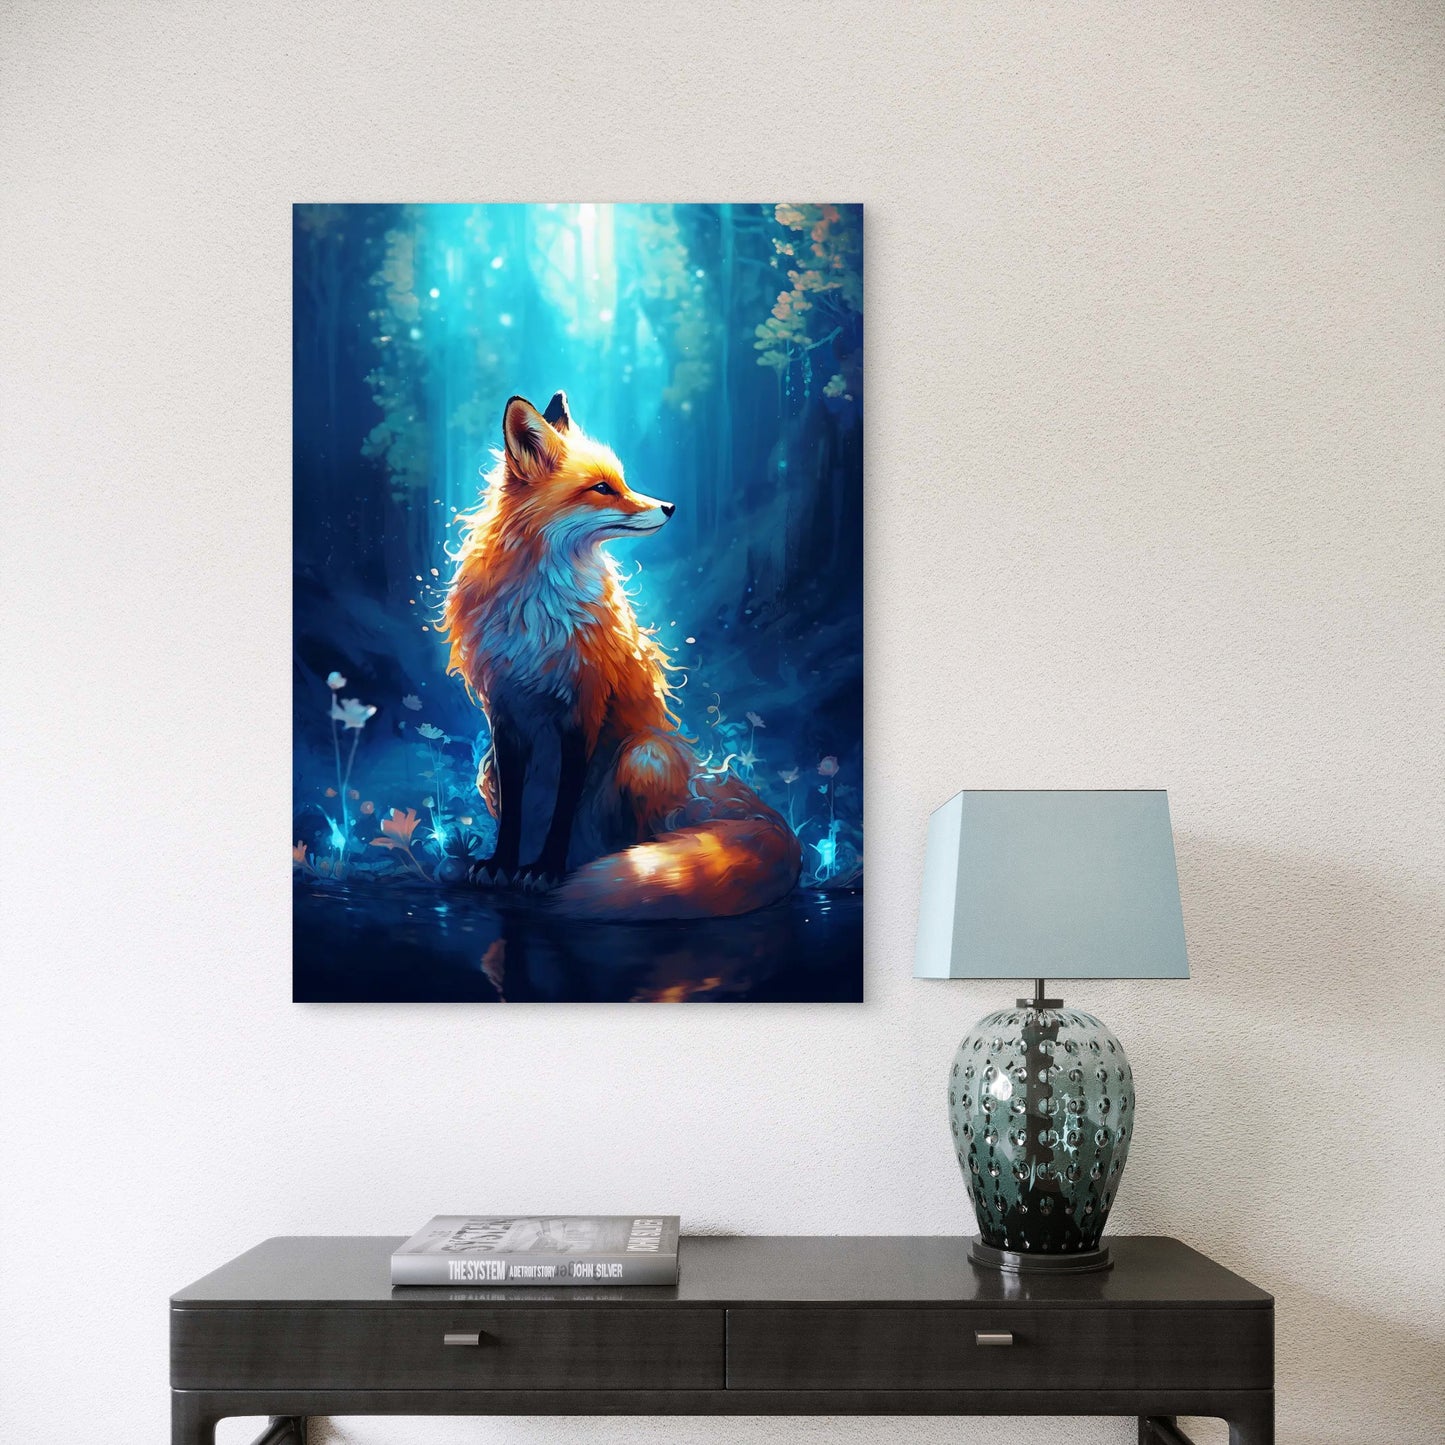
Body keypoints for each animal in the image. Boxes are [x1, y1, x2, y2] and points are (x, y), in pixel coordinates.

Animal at [439, 391, 801, 922]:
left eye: (621, 481)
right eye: (602, 489)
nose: (670, 506)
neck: (539, 612)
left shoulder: (584, 706)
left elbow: (566, 800)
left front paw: (546, 872)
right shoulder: (504, 710)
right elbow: (513, 811)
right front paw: (502, 865)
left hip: (643, 754)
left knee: (640, 841)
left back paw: (616, 872)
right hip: (487, 769)